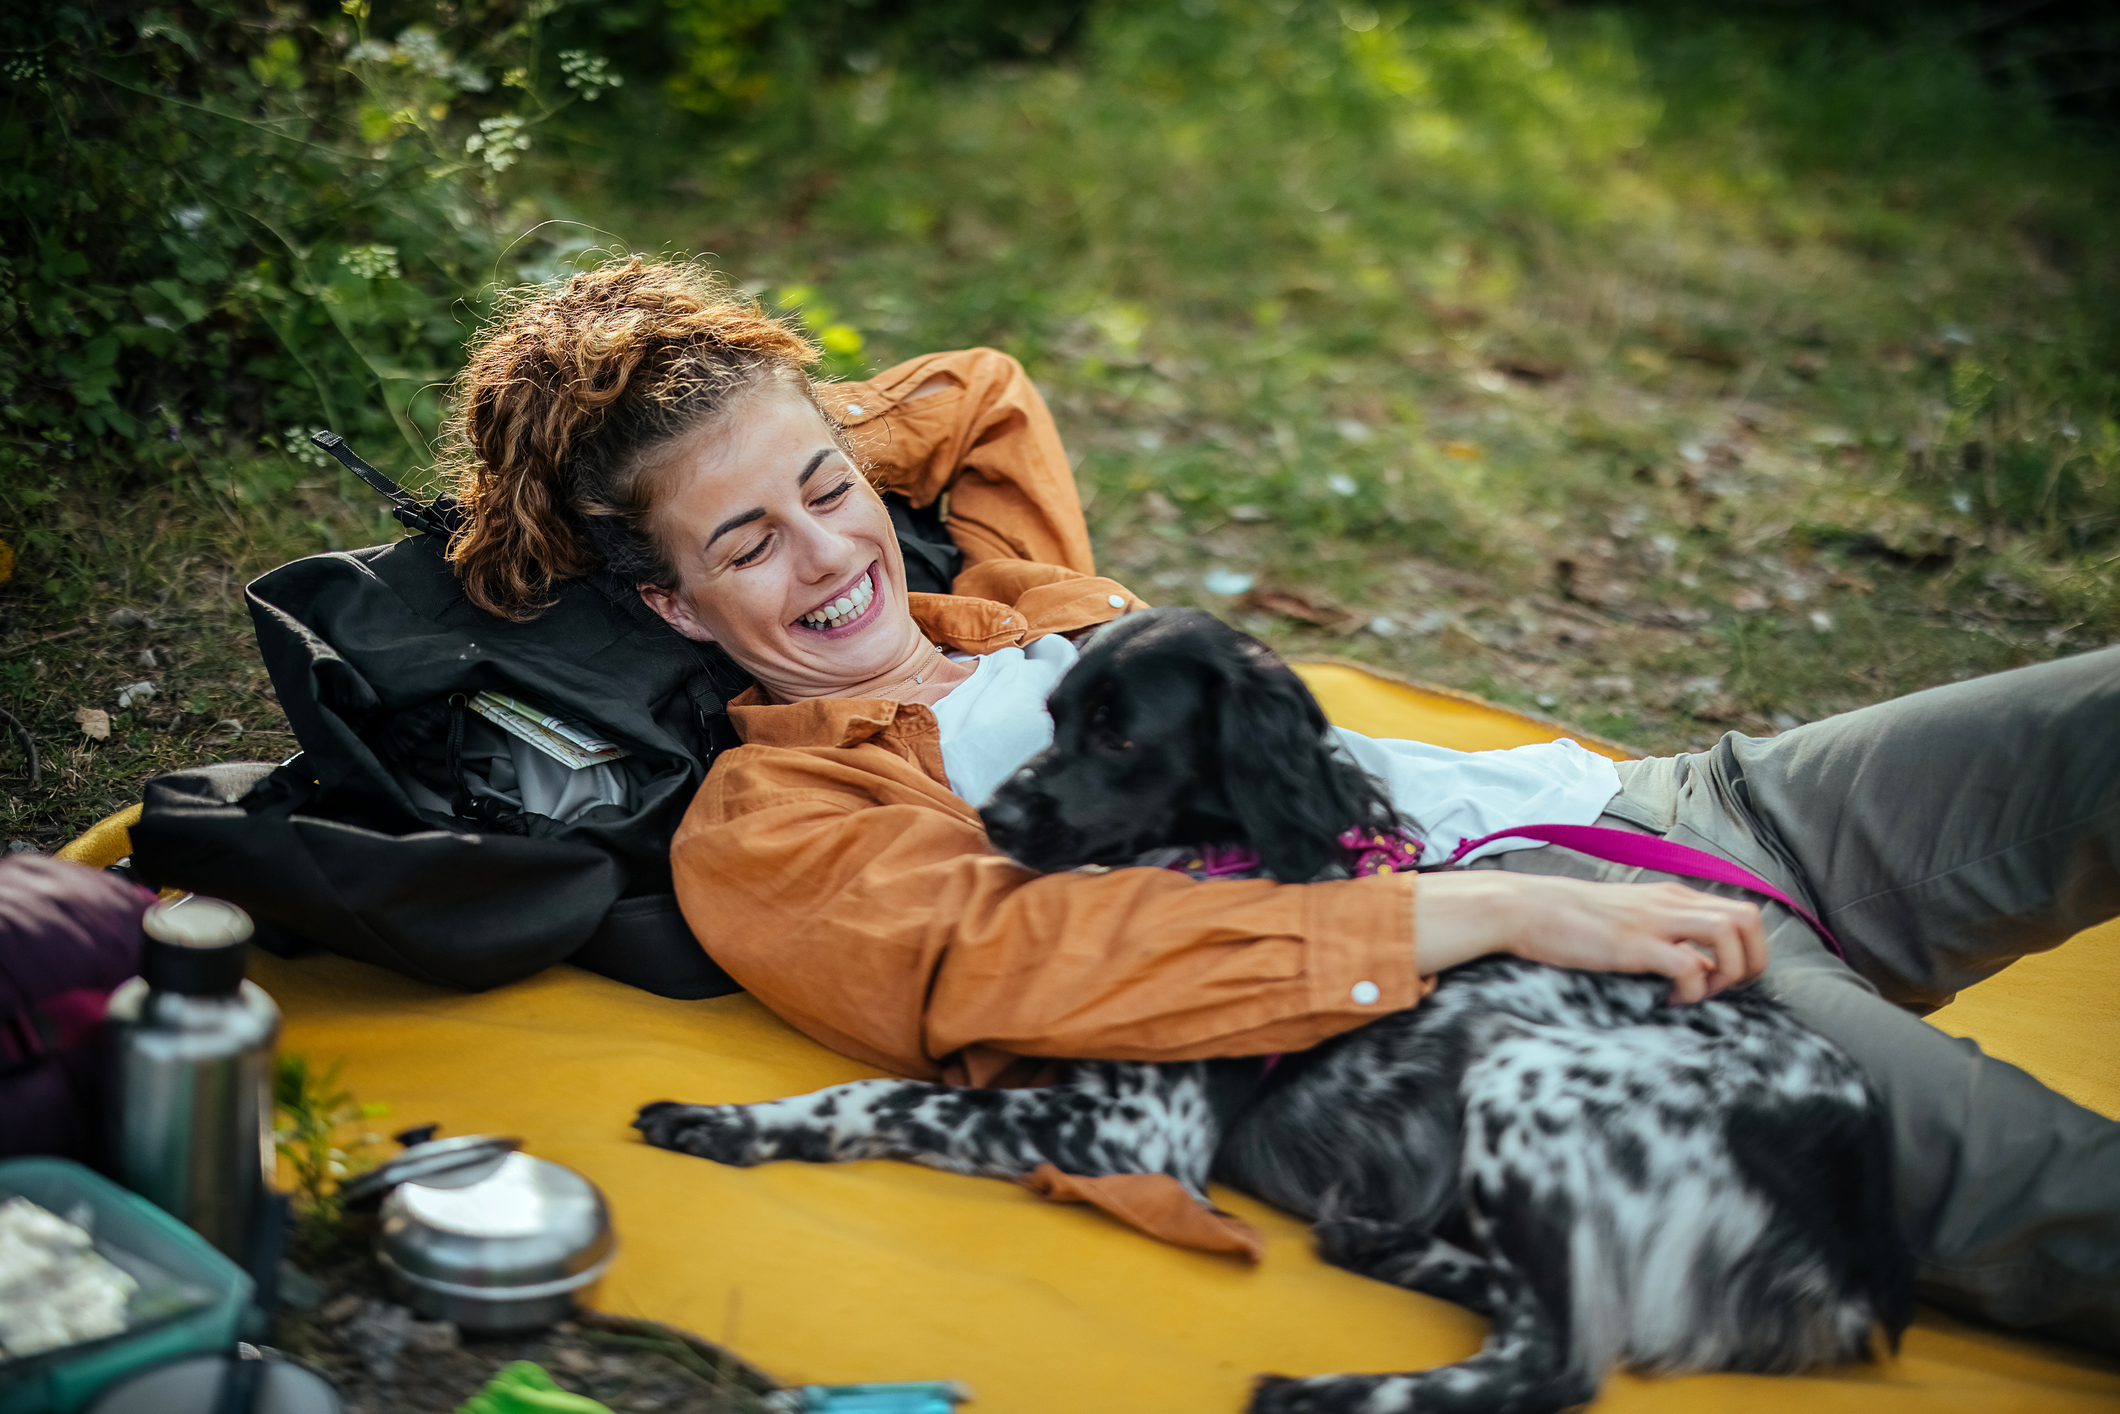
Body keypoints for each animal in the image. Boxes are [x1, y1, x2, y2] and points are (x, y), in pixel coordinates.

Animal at [637, 609, 1912, 1414]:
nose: (996, 818)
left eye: (1120, 730)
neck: (1229, 856)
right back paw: (1381, 1244)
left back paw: (1330, 1386)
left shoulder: (1130, 1133)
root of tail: (1860, 1234)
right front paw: (735, 1117)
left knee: (1555, 1360)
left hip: (1528, 1077)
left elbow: (881, 1091)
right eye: (1054, 715)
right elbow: (881, 1084)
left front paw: (740, 1124)